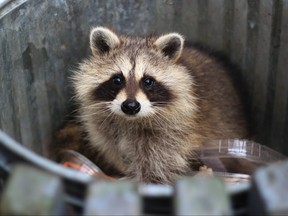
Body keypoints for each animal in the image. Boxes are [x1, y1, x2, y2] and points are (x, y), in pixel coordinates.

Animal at [72, 26, 250, 183]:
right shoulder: (105, 130)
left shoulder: (173, 133)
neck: (130, 121)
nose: (130, 106)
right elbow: (115, 151)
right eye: (117, 80)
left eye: (148, 81)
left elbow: (158, 164)